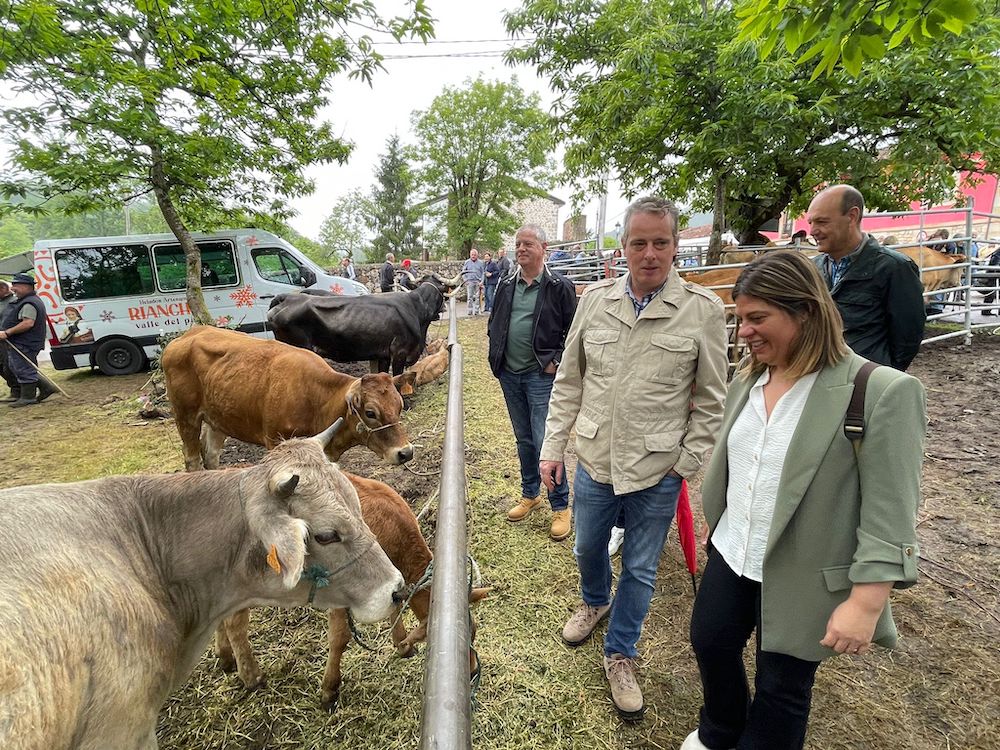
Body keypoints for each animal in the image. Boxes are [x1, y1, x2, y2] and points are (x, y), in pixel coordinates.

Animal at [162, 328, 416, 470]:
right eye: (370, 413)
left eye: (399, 406)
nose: (406, 453)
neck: (314, 400)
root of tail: (185, 336)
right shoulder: (274, 439)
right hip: (185, 416)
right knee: (192, 458)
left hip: (218, 419)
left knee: (211, 455)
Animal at [217, 476, 490, 712]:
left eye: (474, 633)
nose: (473, 672)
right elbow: (340, 638)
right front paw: (330, 690)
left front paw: (401, 644)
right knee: (235, 624)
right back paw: (252, 676)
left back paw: (226, 658)